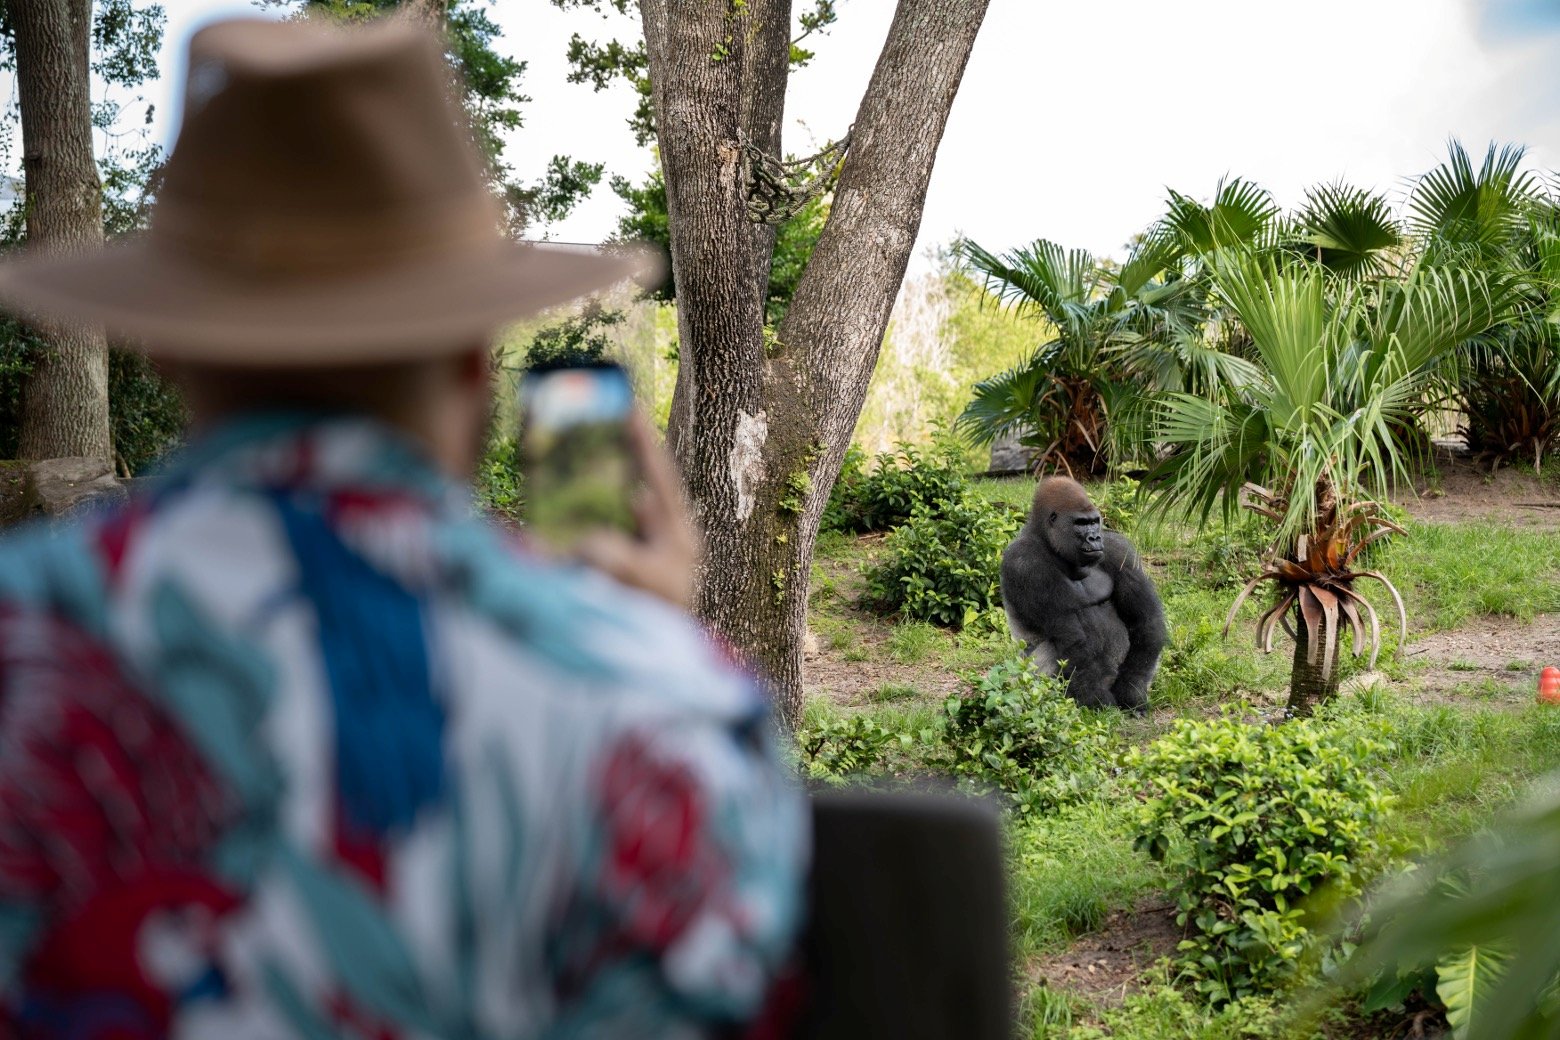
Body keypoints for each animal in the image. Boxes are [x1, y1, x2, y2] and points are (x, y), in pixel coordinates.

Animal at [999, 476, 1167, 712]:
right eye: (1079, 523)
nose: (1094, 537)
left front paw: (1131, 692)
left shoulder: (1118, 550)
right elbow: (1073, 641)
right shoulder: (1025, 563)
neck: (1046, 539)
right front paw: (1098, 700)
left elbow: (1145, 622)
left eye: (1094, 521)